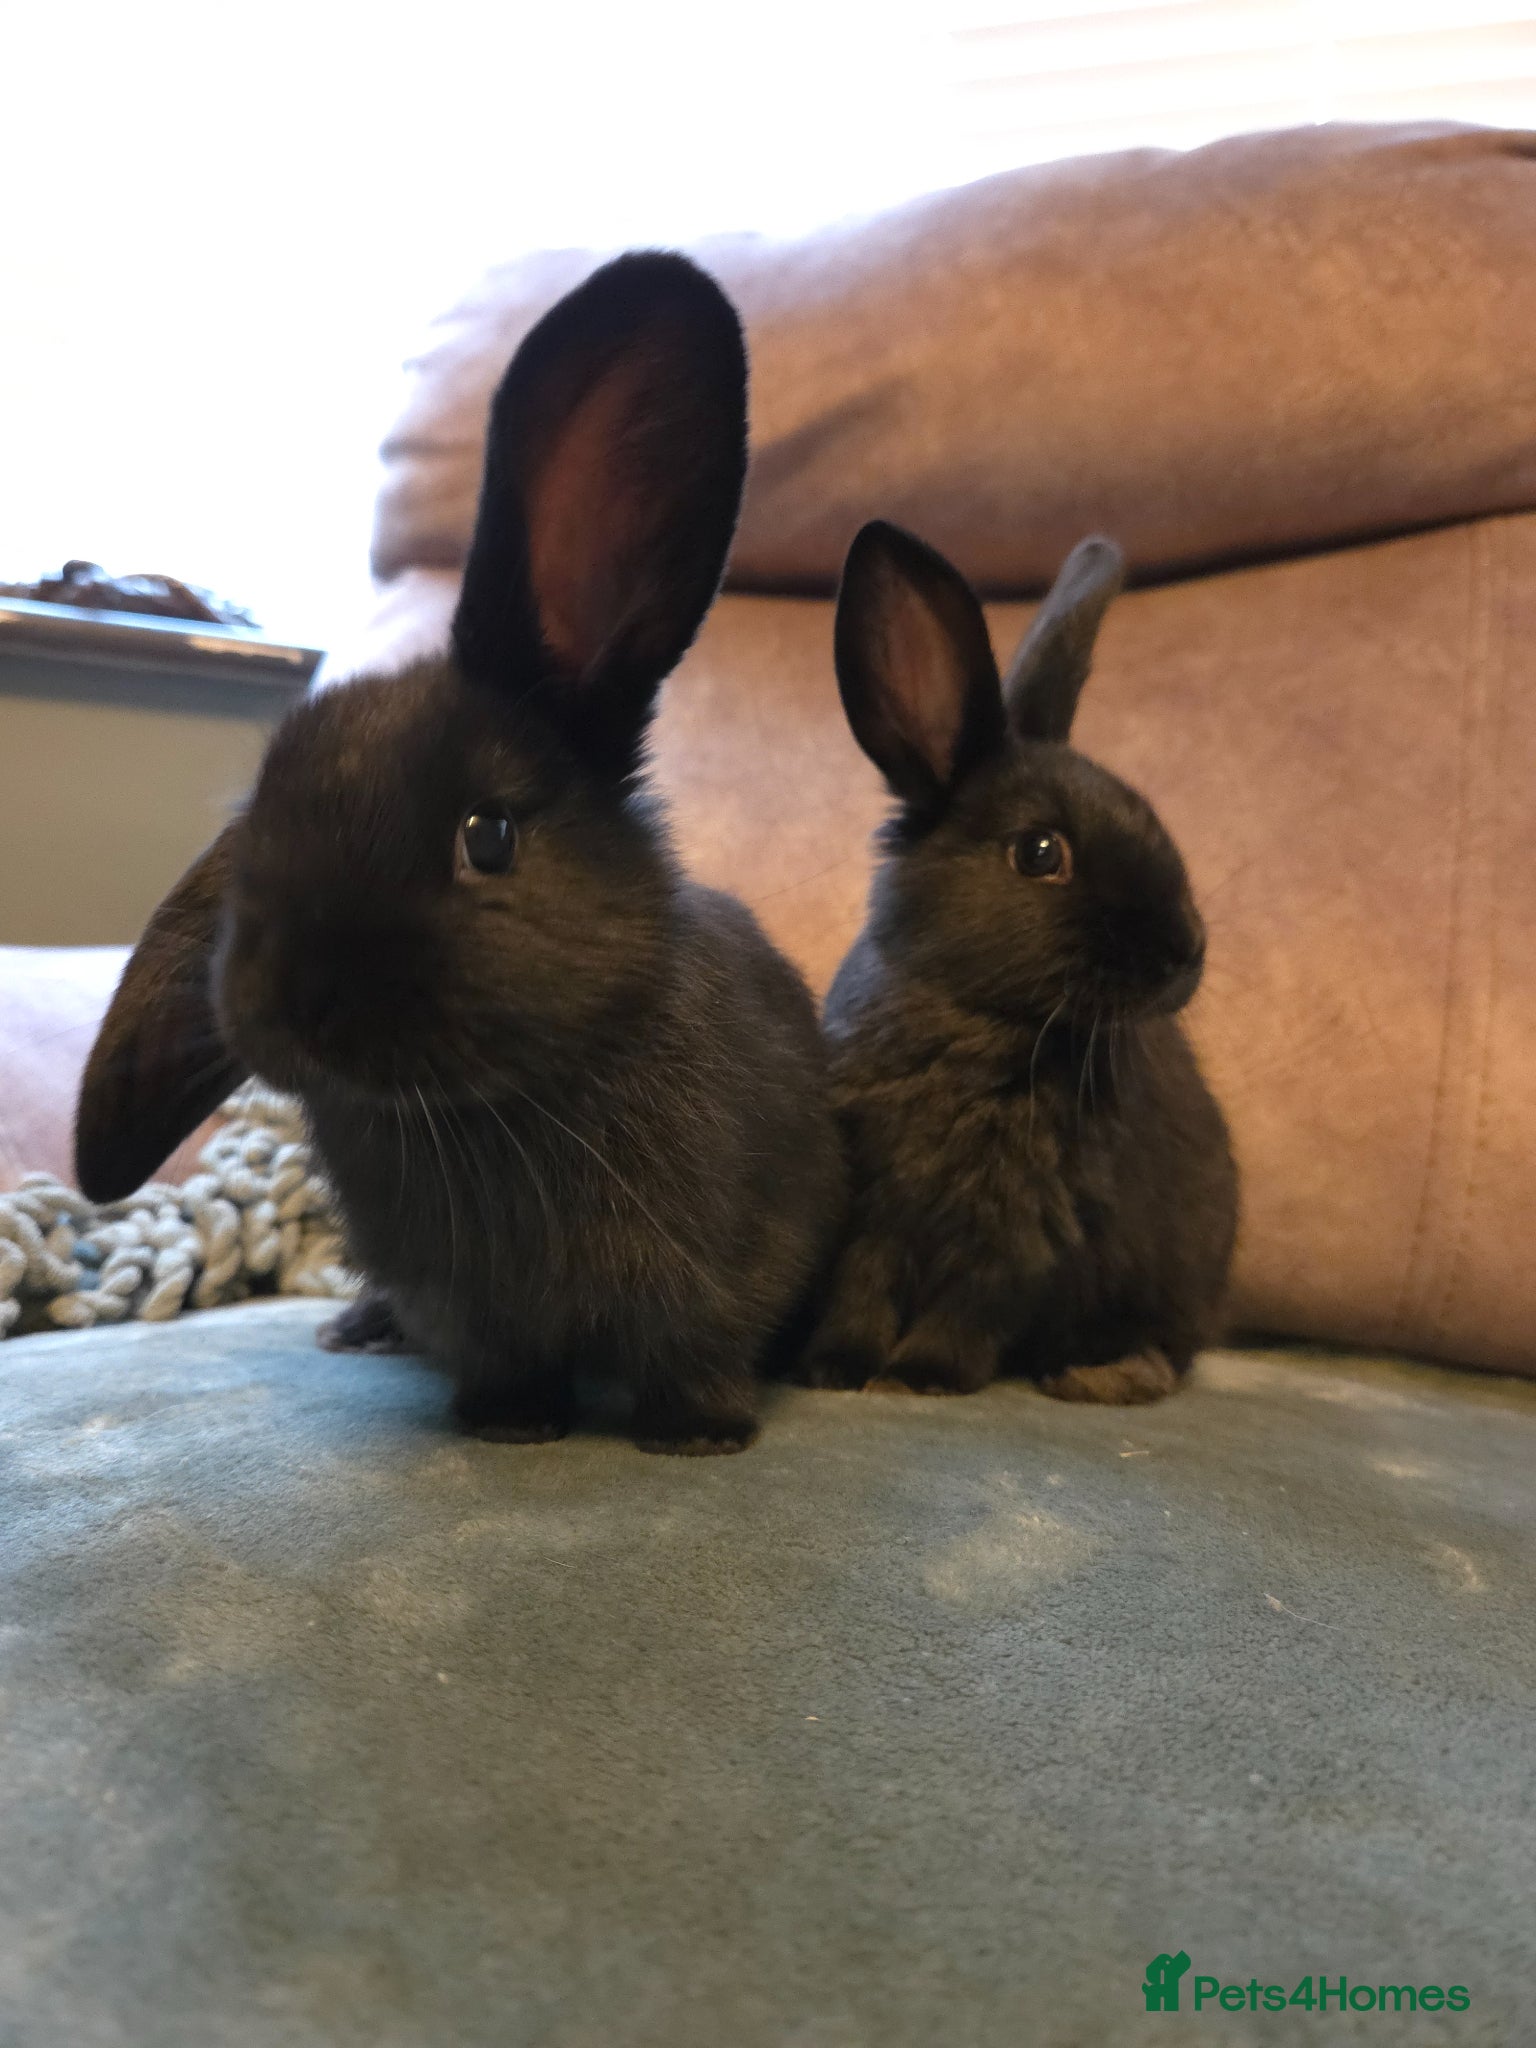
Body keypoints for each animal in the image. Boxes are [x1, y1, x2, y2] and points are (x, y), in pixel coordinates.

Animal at [74, 251, 844, 1455]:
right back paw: (356, 1330)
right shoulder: (473, 1310)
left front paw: (697, 1436)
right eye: (256, 832)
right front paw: (511, 1425)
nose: (296, 1005)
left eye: (488, 837)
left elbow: (699, 1354)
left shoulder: (733, 1269)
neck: (488, 1109)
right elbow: (502, 1361)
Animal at [795, 520, 1237, 1406]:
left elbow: (972, 1308)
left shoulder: (1023, 1230)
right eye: (1039, 853)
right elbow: (860, 1289)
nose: (1188, 951)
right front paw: (839, 1368)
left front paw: (922, 1378)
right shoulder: (873, 1210)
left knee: (1172, 1347)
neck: (977, 1025)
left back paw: (1103, 1375)